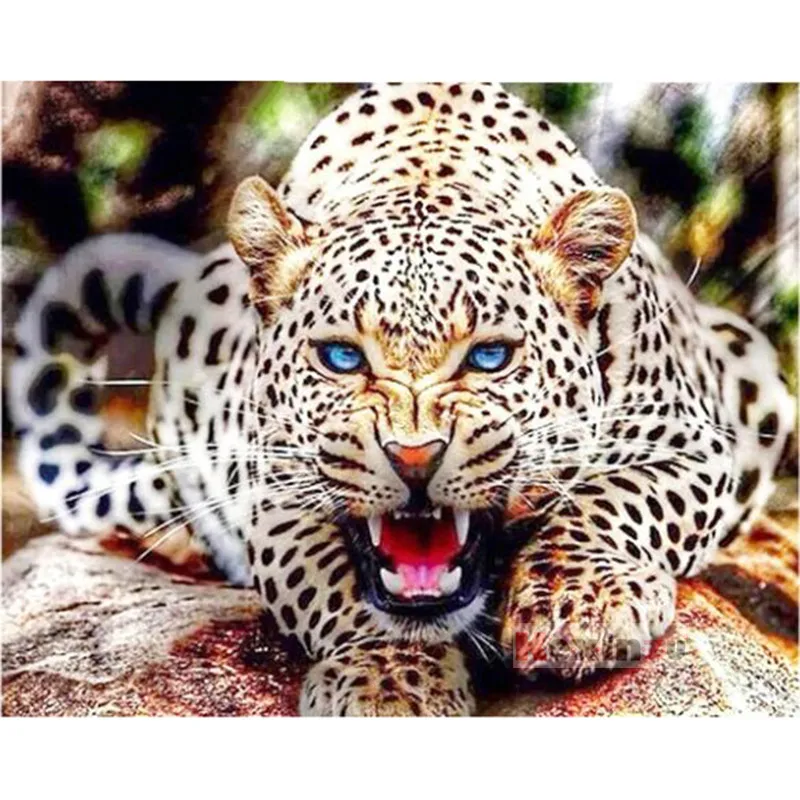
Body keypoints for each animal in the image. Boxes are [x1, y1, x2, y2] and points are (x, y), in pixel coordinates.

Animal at [9, 82, 795, 716]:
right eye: (341, 357)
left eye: (489, 357)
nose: (414, 457)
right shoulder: (272, 489)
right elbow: (336, 585)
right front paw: (388, 681)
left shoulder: (692, 439)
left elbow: (615, 501)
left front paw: (582, 610)